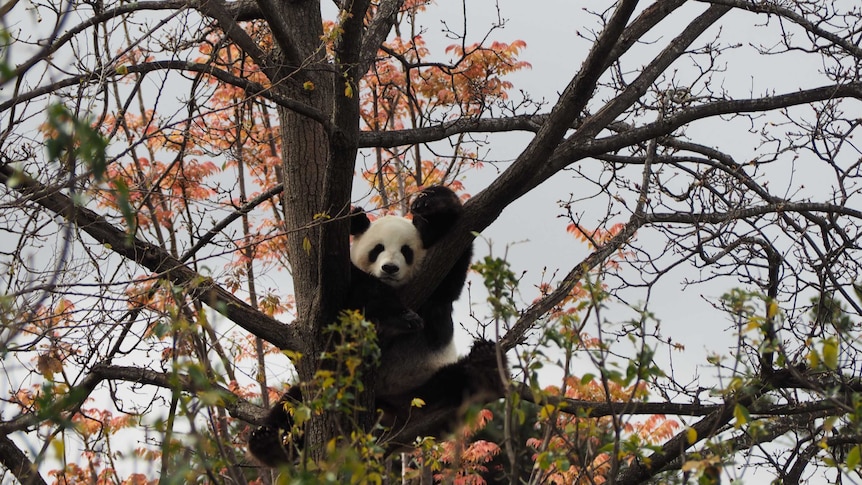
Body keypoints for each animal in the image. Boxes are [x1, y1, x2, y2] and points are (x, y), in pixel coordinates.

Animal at [248, 184, 506, 466]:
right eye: (378, 249)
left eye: (406, 251)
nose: (390, 268)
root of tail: (395, 417)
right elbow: (361, 292)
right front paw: (400, 316)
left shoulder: (438, 283)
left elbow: (451, 275)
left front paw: (433, 203)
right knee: (294, 403)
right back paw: (268, 445)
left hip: (424, 388)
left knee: (460, 380)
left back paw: (485, 363)